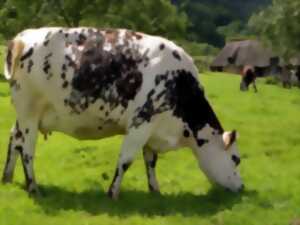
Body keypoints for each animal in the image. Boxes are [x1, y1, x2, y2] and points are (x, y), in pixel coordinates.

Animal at [1, 27, 244, 199]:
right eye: (236, 159)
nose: (241, 187)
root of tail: (22, 37)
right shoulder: (141, 122)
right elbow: (126, 160)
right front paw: (112, 193)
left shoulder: (153, 129)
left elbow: (150, 160)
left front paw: (155, 190)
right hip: (29, 114)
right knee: (27, 151)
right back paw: (33, 187)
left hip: (24, 117)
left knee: (14, 139)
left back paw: (7, 177)